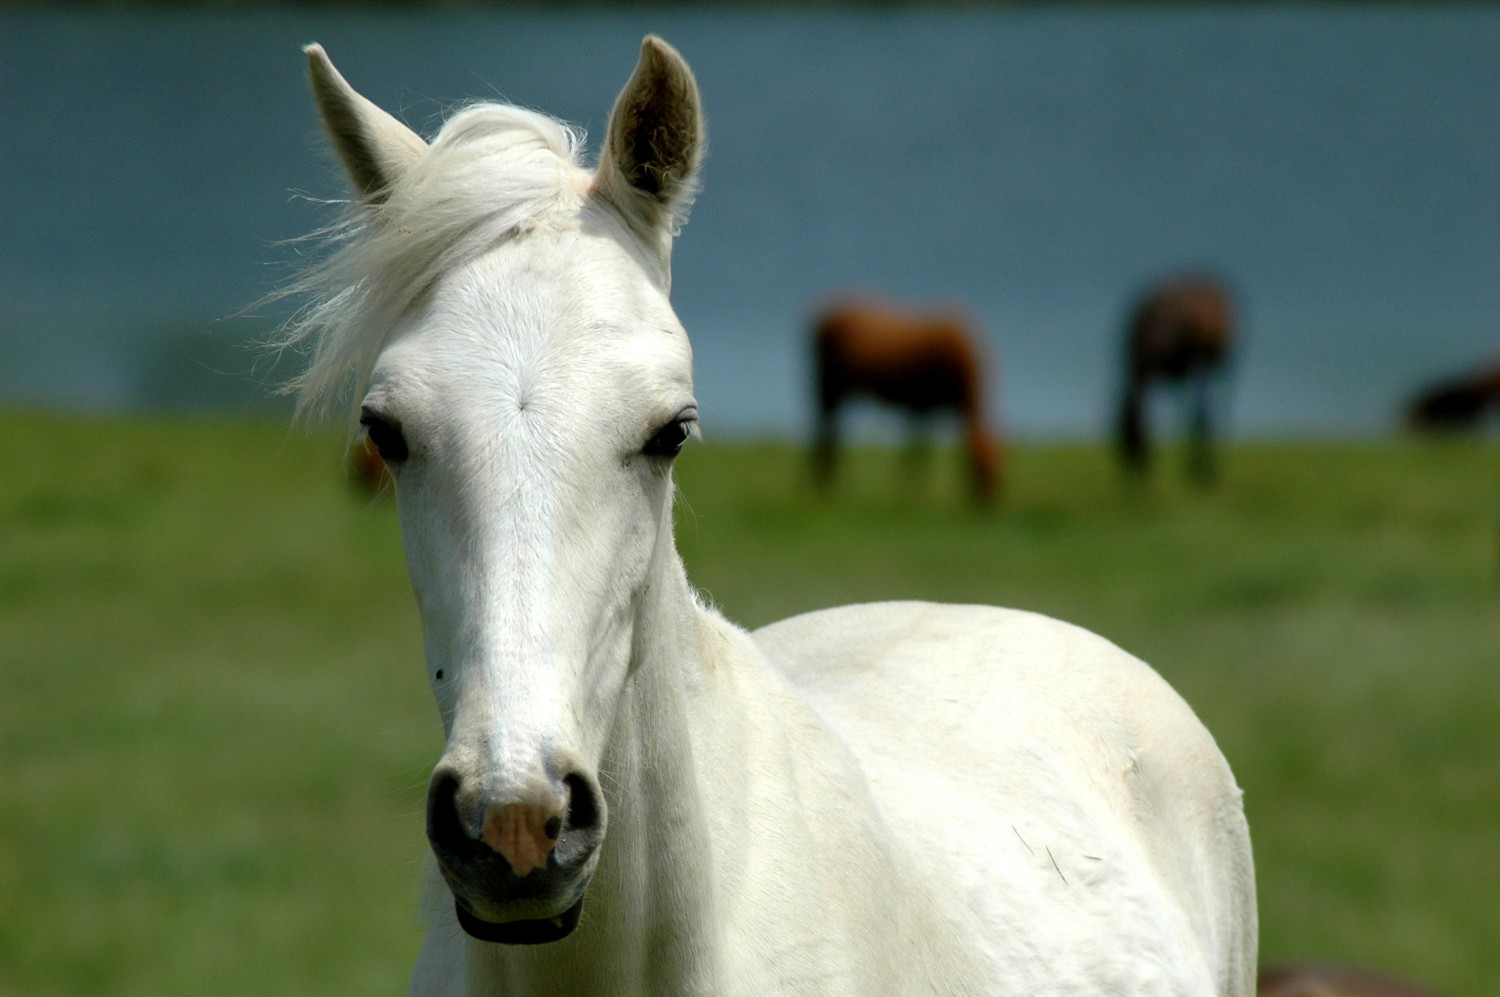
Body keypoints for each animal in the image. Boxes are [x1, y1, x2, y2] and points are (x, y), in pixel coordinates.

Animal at [810, 295, 996, 500]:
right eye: (981, 470)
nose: (993, 501)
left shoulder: (924, 409)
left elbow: (920, 451)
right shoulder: (918, 405)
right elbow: (915, 453)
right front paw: (911, 491)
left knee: (831, 430)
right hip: (828, 385)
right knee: (824, 429)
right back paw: (821, 483)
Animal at [1122, 275, 1236, 485]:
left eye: (1130, 438)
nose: (1135, 479)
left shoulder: (1175, 368)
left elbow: (1186, 416)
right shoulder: (1173, 374)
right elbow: (1179, 414)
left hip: (1211, 360)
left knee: (1211, 408)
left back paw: (1215, 465)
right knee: (1203, 409)